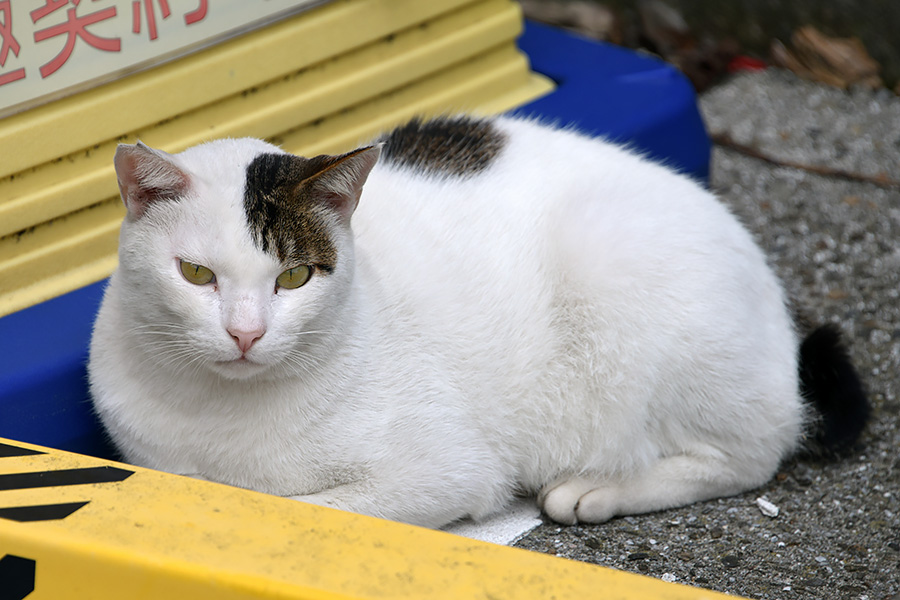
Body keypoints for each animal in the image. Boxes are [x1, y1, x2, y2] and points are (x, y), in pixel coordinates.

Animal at [88, 115, 868, 528]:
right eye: (197, 274)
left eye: (295, 277)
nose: (246, 332)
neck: (221, 417)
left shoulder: (445, 470)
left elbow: (316, 507)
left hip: (613, 264)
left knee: (752, 450)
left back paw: (598, 489)